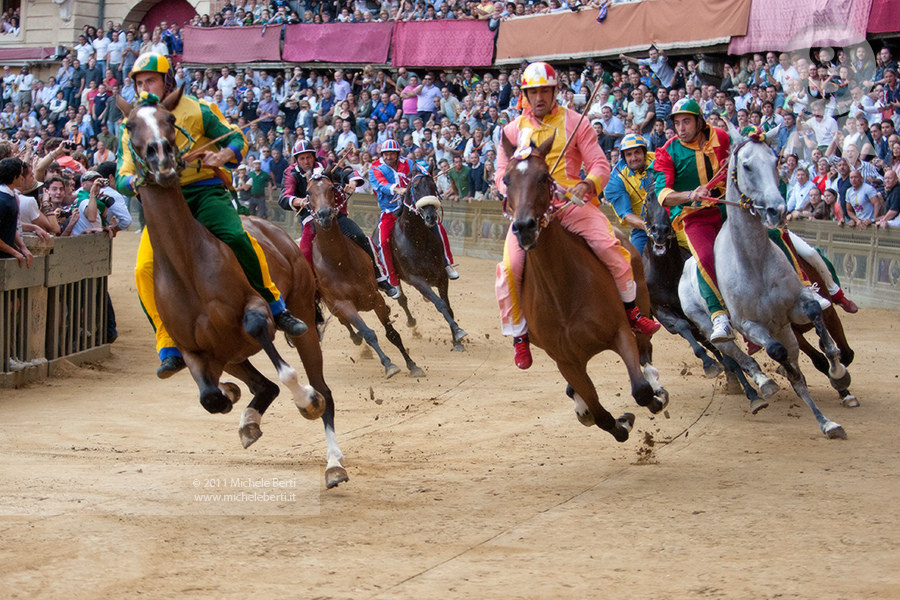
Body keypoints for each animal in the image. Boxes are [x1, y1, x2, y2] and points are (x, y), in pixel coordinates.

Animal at [306, 168, 426, 380]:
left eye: (331, 188)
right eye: (308, 192)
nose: (324, 215)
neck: (339, 262)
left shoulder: (375, 297)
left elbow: (392, 333)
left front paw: (412, 365)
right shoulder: (344, 304)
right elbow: (369, 333)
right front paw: (389, 364)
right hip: (334, 307)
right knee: (347, 325)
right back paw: (356, 339)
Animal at [390, 171, 468, 352]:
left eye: (434, 186)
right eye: (415, 187)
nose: (431, 216)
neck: (418, 239)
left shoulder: (441, 276)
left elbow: (448, 306)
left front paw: (457, 340)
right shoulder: (417, 279)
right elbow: (440, 304)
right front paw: (458, 331)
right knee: (402, 299)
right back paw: (411, 321)